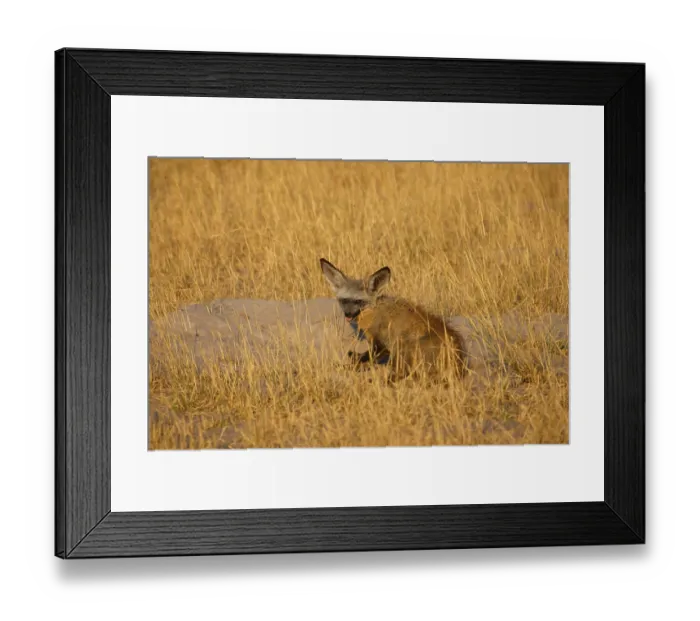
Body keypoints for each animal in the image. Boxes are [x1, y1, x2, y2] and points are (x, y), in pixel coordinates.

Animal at [319, 258, 468, 381]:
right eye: (344, 300)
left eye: (359, 301)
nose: (348, 314)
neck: (373, 312)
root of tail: (459, 364)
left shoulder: (382, 345)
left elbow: (366, 359)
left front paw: (350, 366)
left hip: (405, 348)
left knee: (401, 376)